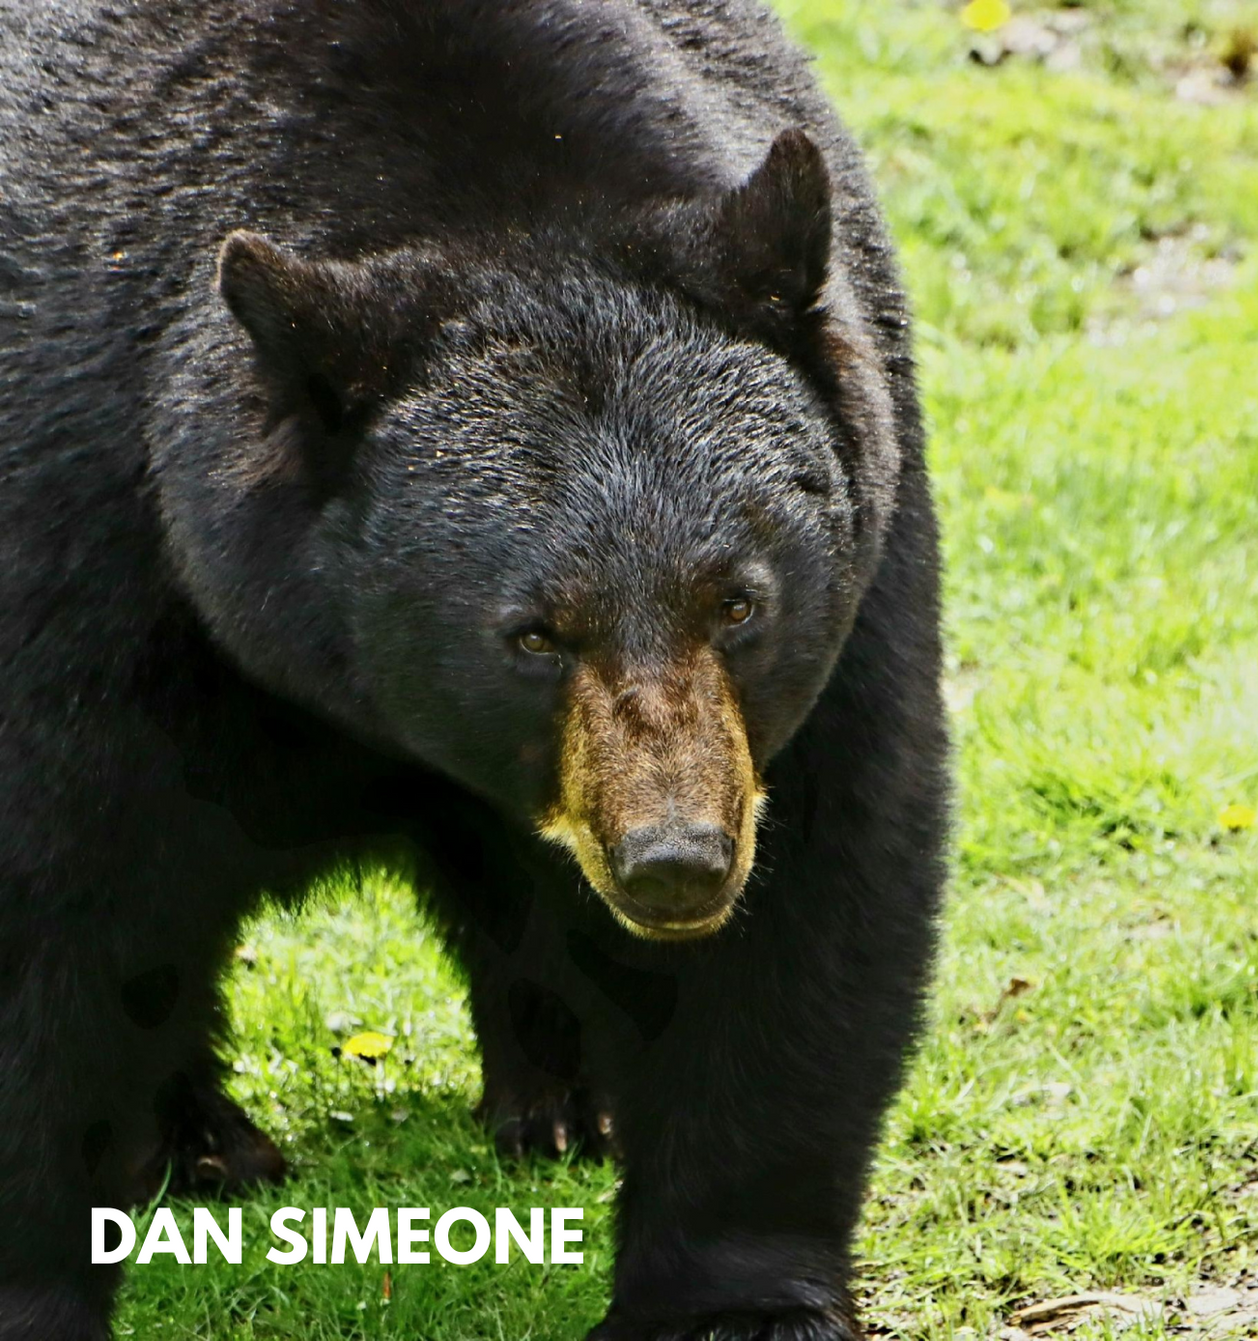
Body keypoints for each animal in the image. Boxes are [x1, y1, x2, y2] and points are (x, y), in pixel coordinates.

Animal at [0, 2, 948, 1339]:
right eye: (534, 632)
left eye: (737, 601)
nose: (676, 863)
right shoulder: (81, 539)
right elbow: (50, 905)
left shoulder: (857, 570)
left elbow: (813, 891)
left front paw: (738, 1295)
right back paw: (205, 1142)